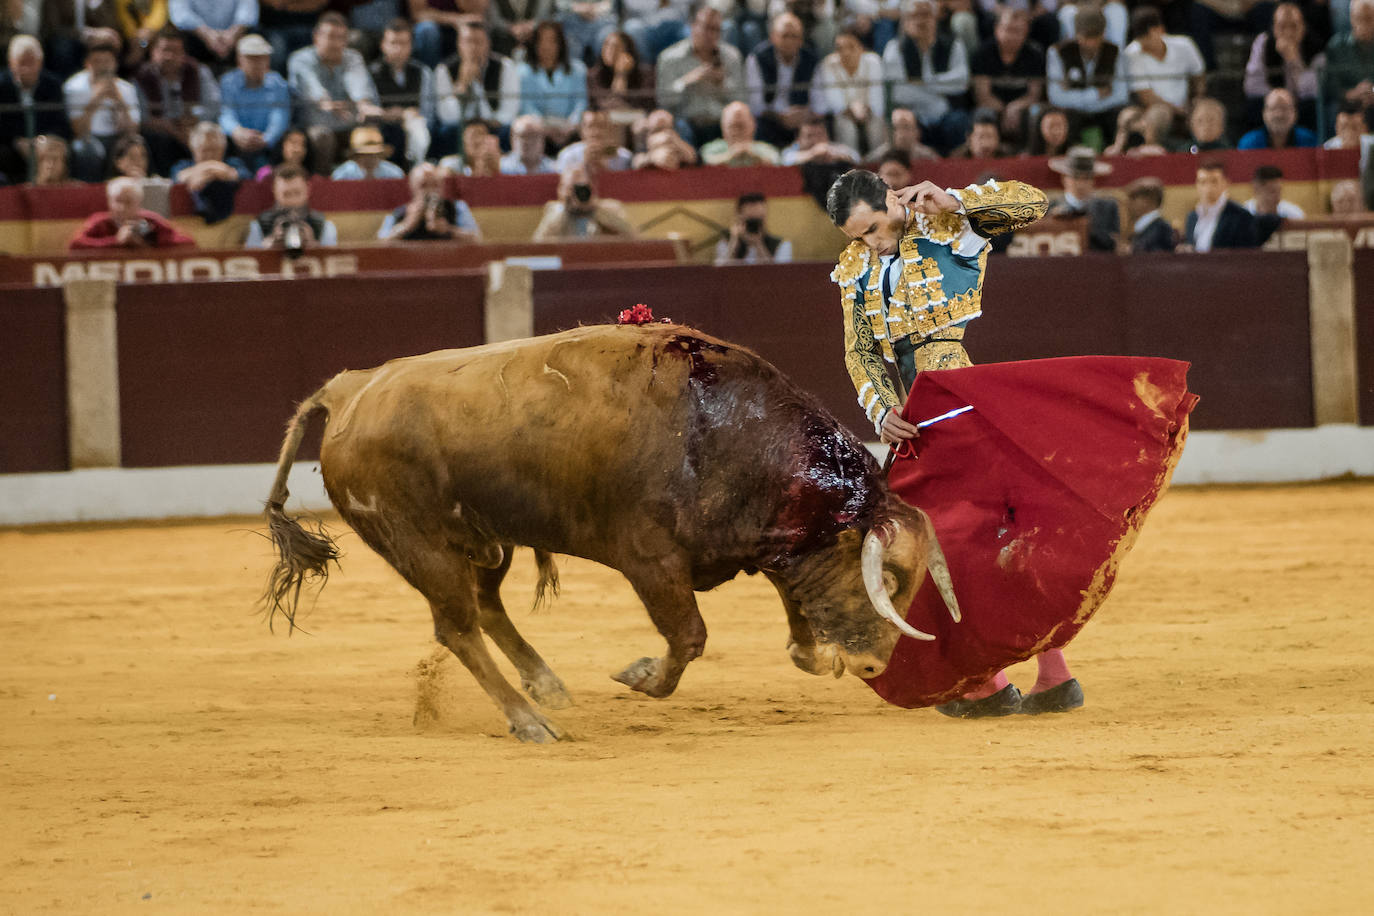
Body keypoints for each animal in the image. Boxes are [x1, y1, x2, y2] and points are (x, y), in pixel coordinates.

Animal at [262, 325, 961, 741]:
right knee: (457, 627)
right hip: (423, 546)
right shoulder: (651, 562)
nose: (873, 665)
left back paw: (547, 687)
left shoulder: (756, 545)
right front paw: (642, 677)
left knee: (484, 607)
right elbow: (690, 636)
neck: (733, 433)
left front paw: (812, 654)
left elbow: (791, 602)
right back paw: (529, 721)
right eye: (889, 575)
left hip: (487, 539)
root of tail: (351, 390)